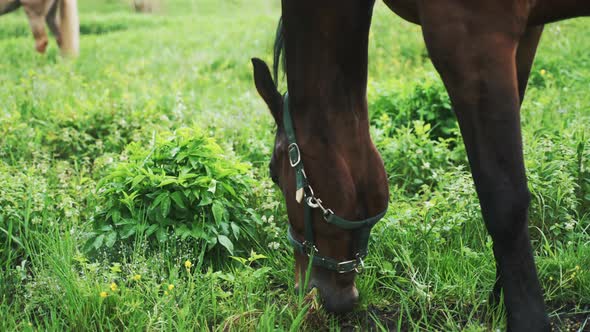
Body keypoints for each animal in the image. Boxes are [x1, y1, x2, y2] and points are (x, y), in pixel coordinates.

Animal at [252, 1, 588, 330]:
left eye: (274, 174)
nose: (304, 290)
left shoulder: (472, 42)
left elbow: (503, 203)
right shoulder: (524, 36)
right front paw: (499, 303)